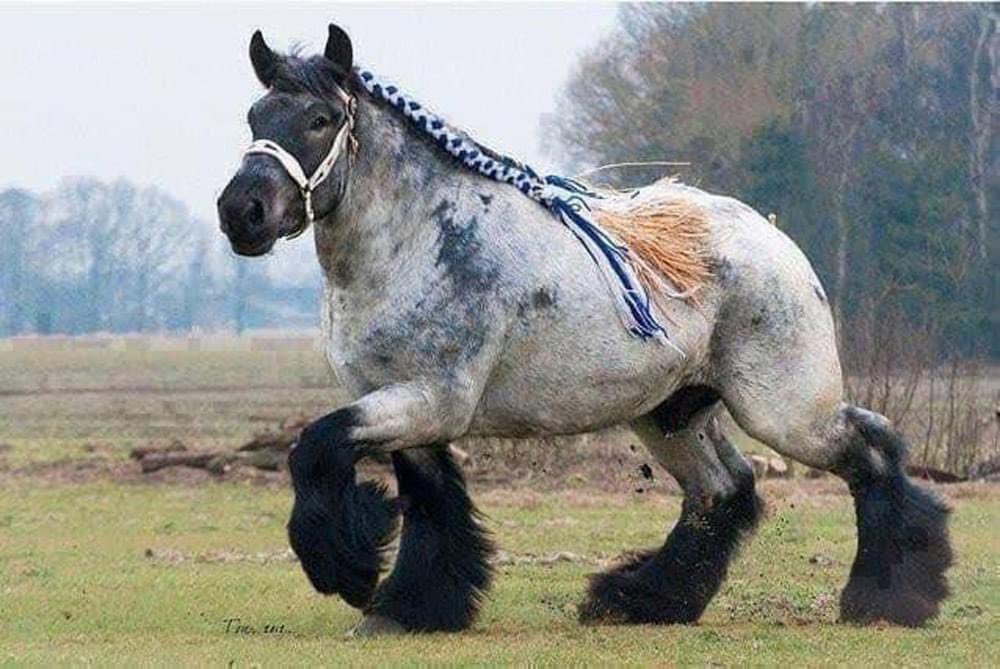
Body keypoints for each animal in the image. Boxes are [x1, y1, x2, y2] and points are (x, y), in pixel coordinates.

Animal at [215, 23, 948, 636]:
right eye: (253, 117)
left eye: (319, 119)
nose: (241, 212)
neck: (415, 240)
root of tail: (775, 239)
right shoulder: (406, 408)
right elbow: (429, 502)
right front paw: (410, 609)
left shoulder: (429, 400)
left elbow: (314, 448)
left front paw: (349, 567)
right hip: (672, 412)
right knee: (722, 489)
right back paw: (641, 600)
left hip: (784, 409)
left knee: (870, 450)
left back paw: (889, 596)